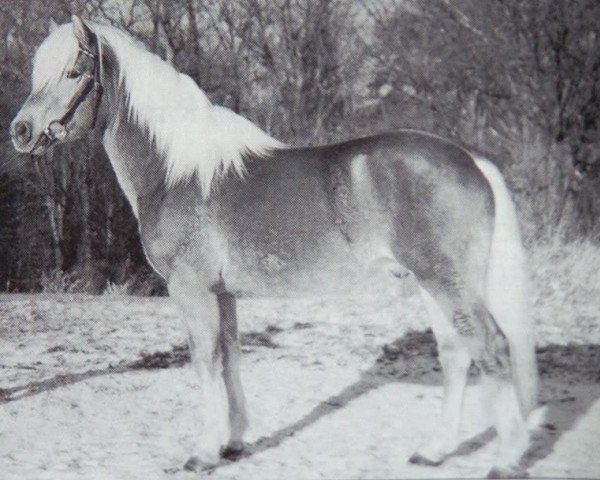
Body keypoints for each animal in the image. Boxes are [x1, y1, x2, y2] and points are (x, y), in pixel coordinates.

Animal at [10, 15, 544, 480]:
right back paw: (435, 451)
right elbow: (230, 358)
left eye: (74, 72)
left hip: (447, 284)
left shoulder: (191, 289)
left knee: (492, 349)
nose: (21, 131)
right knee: (457, 356)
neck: (178, 171)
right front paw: (233, 442)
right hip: (433, 285)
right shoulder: (222, 294)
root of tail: (470, 160)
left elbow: (204, 361)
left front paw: (203, 453)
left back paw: (505, 458)